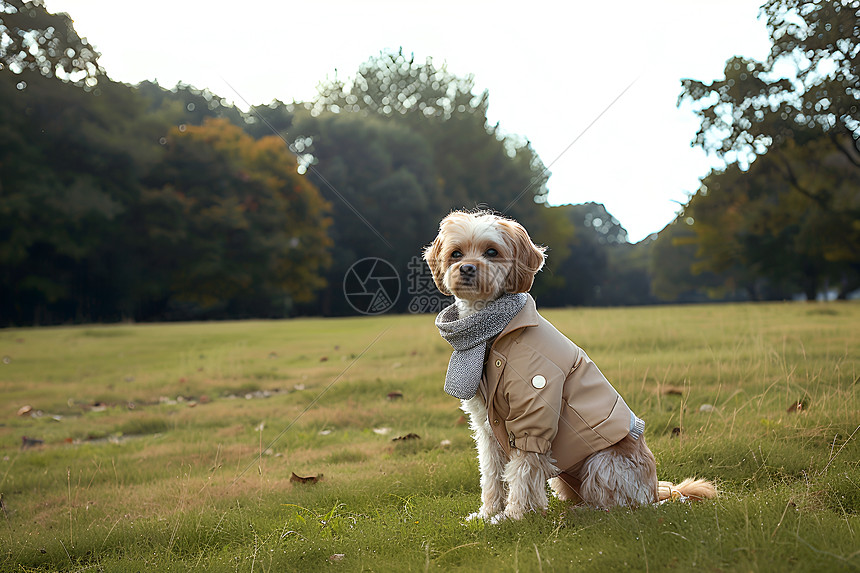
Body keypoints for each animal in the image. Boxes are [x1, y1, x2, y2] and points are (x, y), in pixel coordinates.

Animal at [422, 211, 712, 524]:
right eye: (456, 253)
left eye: (492, 252)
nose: (466, 268)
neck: (495, 334)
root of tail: (654, 492)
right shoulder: (487, 426)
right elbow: (492, 472)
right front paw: (488, 513)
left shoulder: (534, 419)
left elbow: (522, 471)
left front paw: (512, 516)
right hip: (563, 477)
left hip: (603, 463)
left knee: (616, 505)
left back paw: (586, 510)